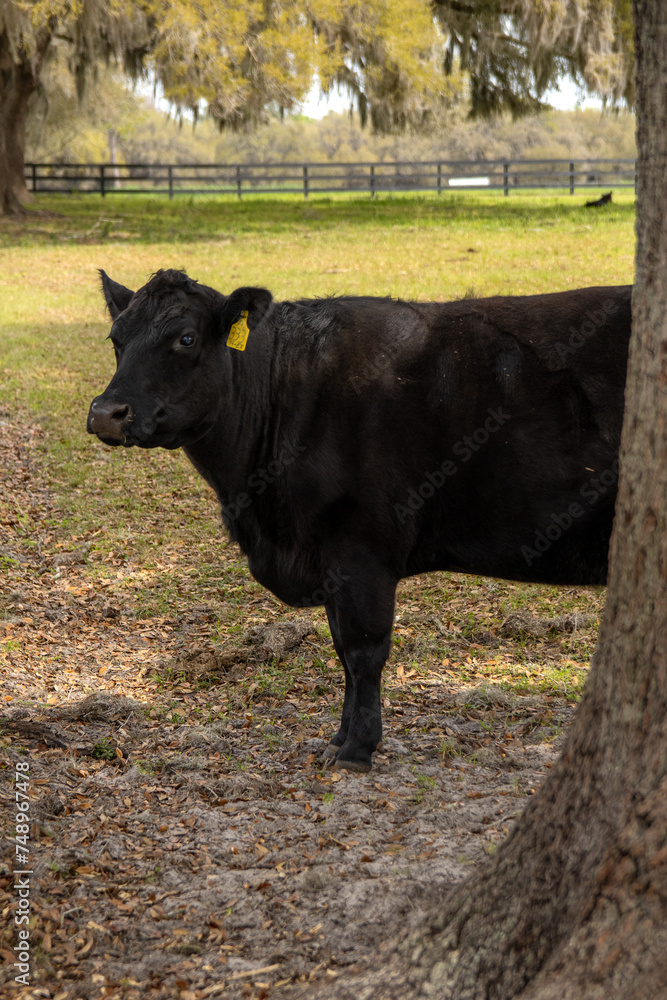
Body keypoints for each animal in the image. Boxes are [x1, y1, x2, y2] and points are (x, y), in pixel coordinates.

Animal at [88, 269, 632, 772]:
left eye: (185, 338)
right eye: (116, 338)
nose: (105, 413)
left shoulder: (360, 552)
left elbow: (363, 650)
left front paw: (357, 749)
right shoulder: (328, 560)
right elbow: (341, 652)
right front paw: (339, 738)